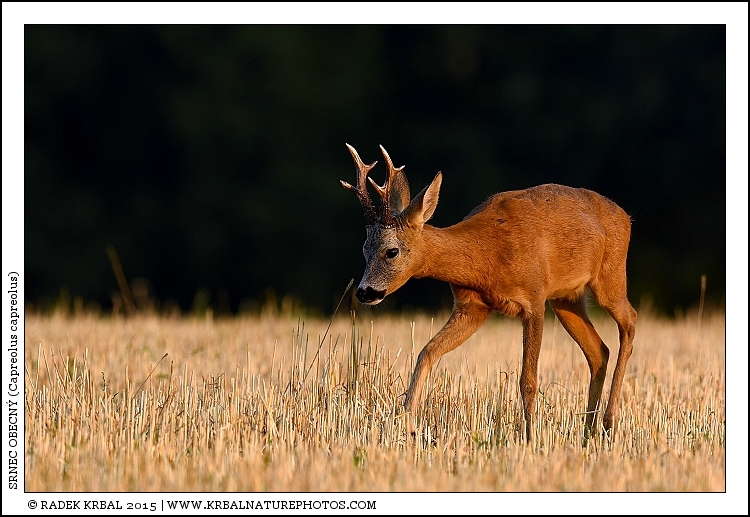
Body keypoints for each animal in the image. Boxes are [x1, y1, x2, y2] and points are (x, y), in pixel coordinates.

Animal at [340, 144, 637, 443]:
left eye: (391, 251)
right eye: (364, 249)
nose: (365, 292)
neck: (487, 255)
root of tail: (627, 217)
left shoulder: (534, 297)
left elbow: (528, 380)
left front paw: (530, 438)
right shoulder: (471, 307)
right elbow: (427, 352)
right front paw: (406, 426)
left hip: (609, 277)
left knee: (630, 321)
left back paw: (609, 422)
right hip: (566, 299)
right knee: (599, 351)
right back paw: (588, 431)